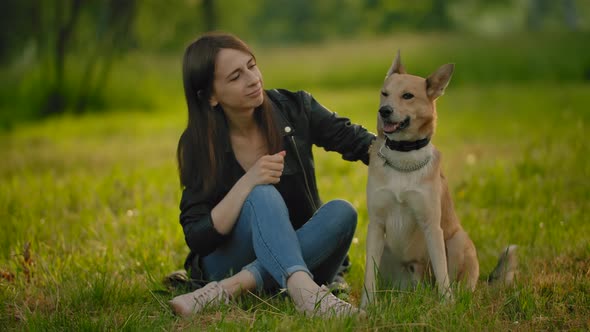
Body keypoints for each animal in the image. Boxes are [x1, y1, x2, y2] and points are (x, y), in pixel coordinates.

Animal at [360, 52, 520, 308]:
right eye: (384, 93)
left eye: (407, 96)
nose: (384, 110)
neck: (403, 157)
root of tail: (416, 288)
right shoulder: (376, 225)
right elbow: (368, 275)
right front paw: (367, 307)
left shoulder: (431, 225)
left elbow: (442, 270)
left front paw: (446, 306)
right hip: (387, 251)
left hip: (457, 240)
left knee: (456, 282)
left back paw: (455, 298)